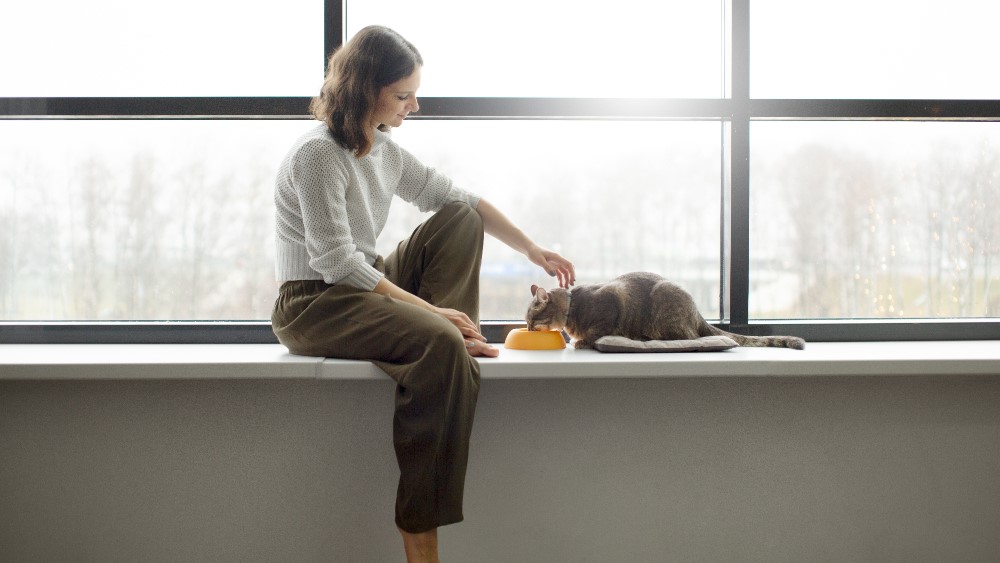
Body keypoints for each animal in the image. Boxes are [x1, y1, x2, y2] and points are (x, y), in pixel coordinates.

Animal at [528, 270, 808, 350]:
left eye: (531, 318)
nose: (528, 328)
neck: (572, 306)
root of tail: (697, 313)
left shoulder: (613, 300)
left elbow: (597, 331)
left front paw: (582, 341)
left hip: (665, 303)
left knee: (688, 337)